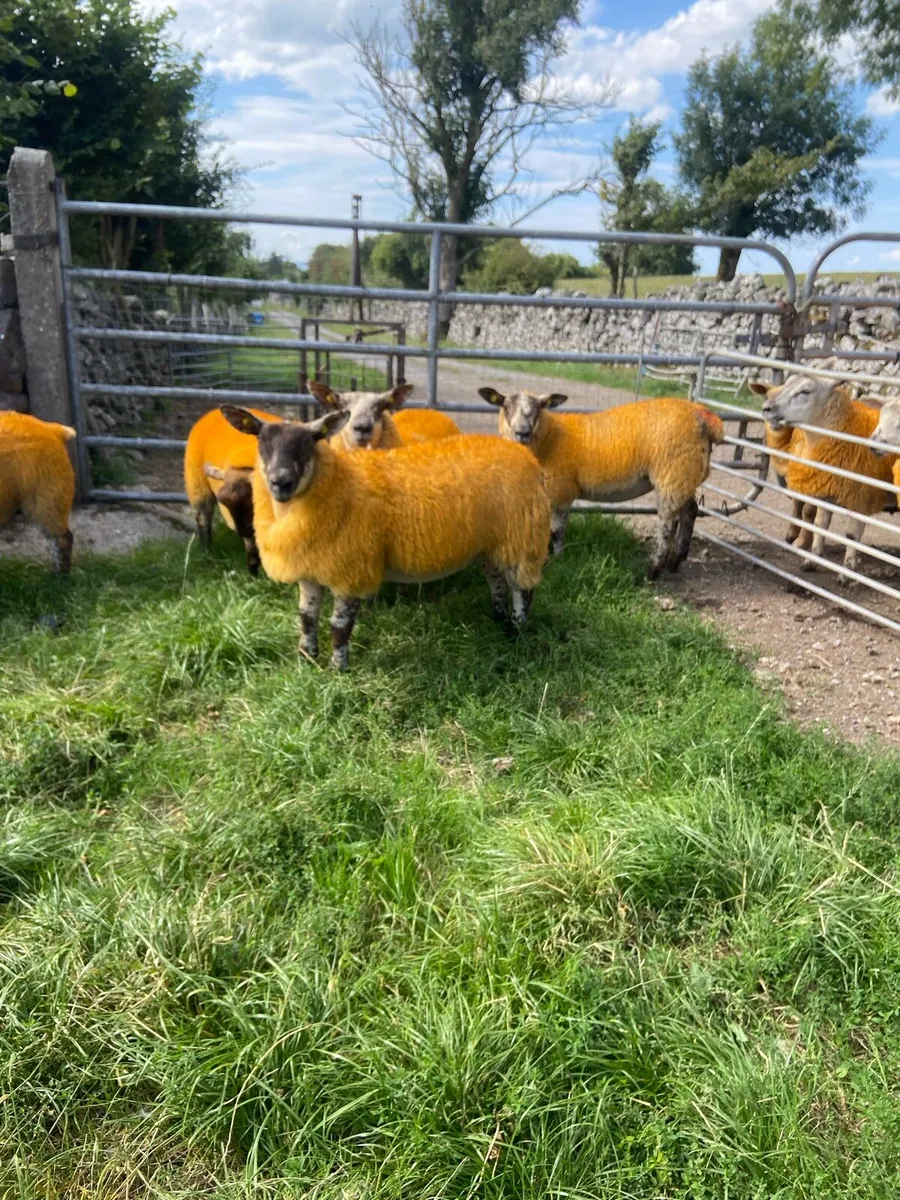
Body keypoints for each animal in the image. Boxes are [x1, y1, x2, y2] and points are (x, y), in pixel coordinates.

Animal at [183, 405, 282, 574]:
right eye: (223, 500)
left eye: (255, 498)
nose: (243, 531)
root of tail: (212, 412)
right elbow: (253, 551)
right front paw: (254, 575)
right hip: (196, 484)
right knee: (203, 518)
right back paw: (207, 553)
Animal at [220, 405, 551, 670]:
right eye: (261, 441)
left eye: (309, 442)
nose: (281, 482)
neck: (338, 484)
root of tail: (525, 455)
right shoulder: (310, 570)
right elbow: (307, 617)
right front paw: (306, 660)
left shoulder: (350, 569)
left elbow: (339, 626)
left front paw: (338, 669)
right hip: (492, 543)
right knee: (497, 582)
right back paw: (498, 619)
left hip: (522, 537)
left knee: (522, 589)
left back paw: (516, 631)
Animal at [479, 389, 724, 577]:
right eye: (505, 406)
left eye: (540, 407)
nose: (522, 432)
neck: (551, 438)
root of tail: (704, 417)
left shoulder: (561, 491)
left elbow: (557, 530)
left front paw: (558, 559)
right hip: (683, 475)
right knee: (690, 510)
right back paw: (676, 561)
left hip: (671, 473)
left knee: (667, 523)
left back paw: (653, 570)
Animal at [753, 377, 897, 574]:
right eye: (767, 395)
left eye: (805, 391)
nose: (766, 409)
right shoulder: (824, 489)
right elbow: (819, 525)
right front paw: (811, 560)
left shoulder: (862, 496)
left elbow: (851, 535)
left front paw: (847, 569)